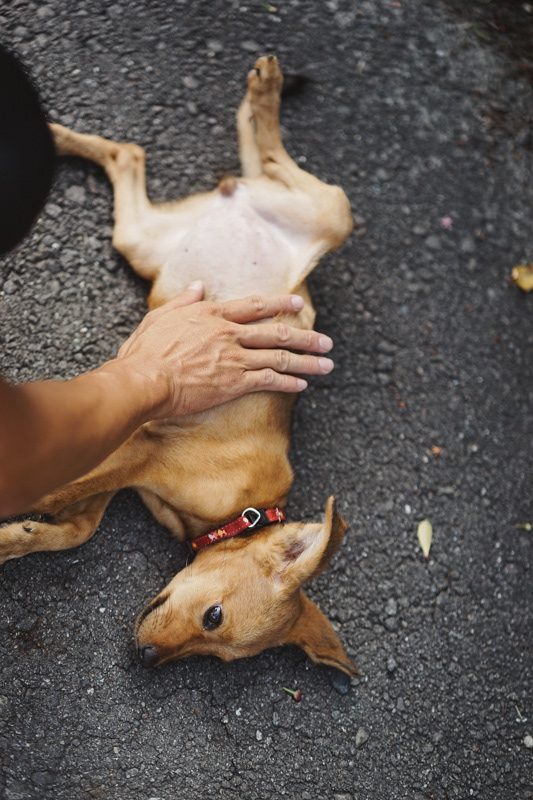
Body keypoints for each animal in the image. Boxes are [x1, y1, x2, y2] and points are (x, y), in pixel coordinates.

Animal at [0, 56, 357, 677]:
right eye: (214, 617)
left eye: (214, 654)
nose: (144, 658)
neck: (245, 512)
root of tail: (239, 200)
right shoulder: (145, 447)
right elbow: (58, 493)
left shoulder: (129, 448)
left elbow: (75, 526)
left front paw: (17, 535)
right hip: (331, 213)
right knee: (282, 165)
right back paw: (266, 95)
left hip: (141, 241)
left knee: (131, 154)